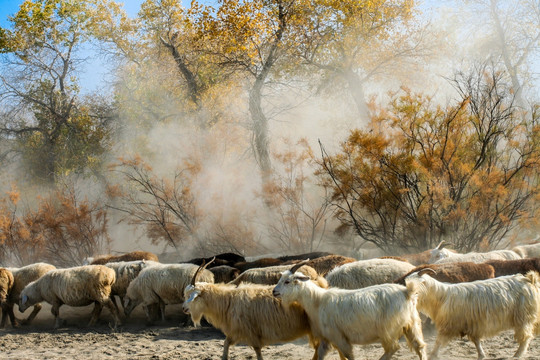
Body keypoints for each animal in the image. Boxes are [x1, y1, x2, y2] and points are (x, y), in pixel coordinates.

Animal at [184, 262, 318, 360]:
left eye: (191, 295)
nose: (184, 308)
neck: (228, 299)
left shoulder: (249, 331)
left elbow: (257, 351)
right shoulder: (237, 330)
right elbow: (226, 343)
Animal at [274, 262, 426, 360]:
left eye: (287, 281)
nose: (274, 292)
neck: (318, 301)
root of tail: (407, 291)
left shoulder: (339, 336)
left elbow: (349, 355)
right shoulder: (326, 338)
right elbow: (320, 356)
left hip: (388, 329)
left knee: (393, 348)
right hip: (411, 325)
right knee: (420, 347)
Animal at [404, 268, 540, 358]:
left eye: (415, 286)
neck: (441, 296)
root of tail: (528, 279)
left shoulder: (449, 325)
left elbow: (438, 341)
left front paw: (432, 355)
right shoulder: (472, 323)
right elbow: (476, 341)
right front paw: (481, 355)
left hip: (523, 317)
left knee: (526, 338)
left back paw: (517, 355)